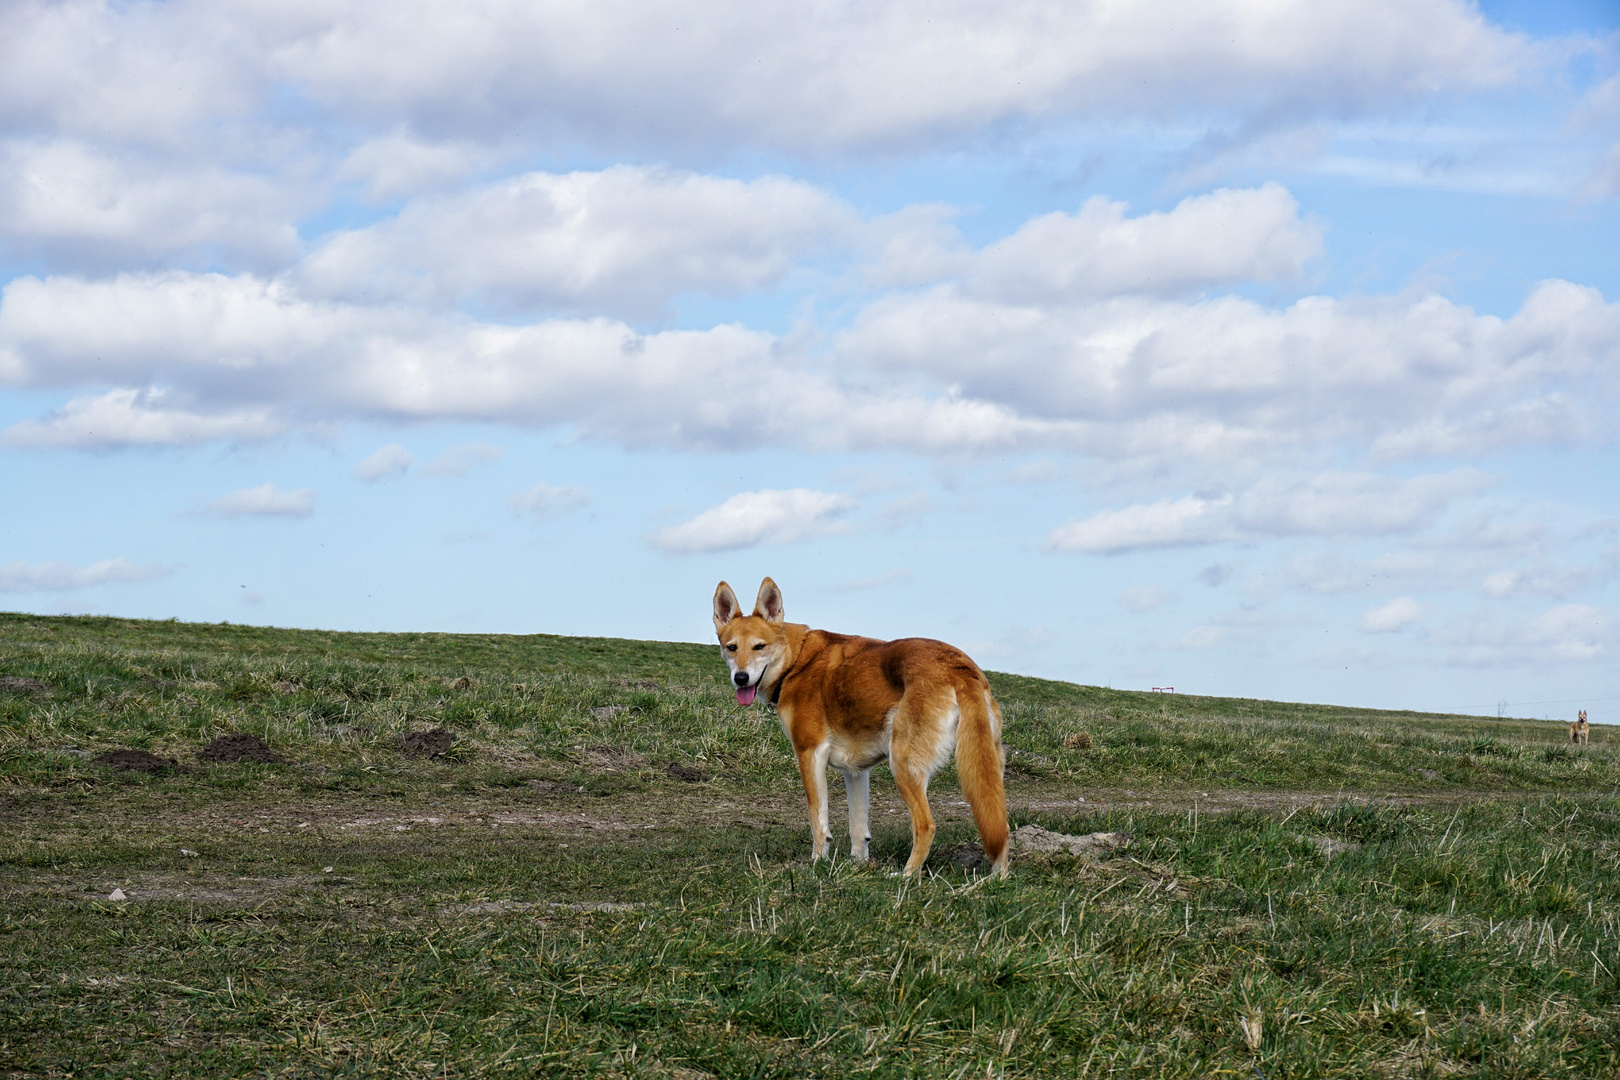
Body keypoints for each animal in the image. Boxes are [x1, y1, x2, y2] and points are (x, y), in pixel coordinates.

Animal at [716, 579, 1004, 874]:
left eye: (759, 647)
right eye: (731, 647)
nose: (741, 678)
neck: (795, 661)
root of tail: (959, 667)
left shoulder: (810, 753)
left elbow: (818, 820)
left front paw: (817, 863)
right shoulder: (855, 770)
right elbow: (858, 828)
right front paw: (858, 865)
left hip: (903, 764)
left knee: (926, 825)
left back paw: (905, 875)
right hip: (987, 767)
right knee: (998, 827)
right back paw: (996, 877)